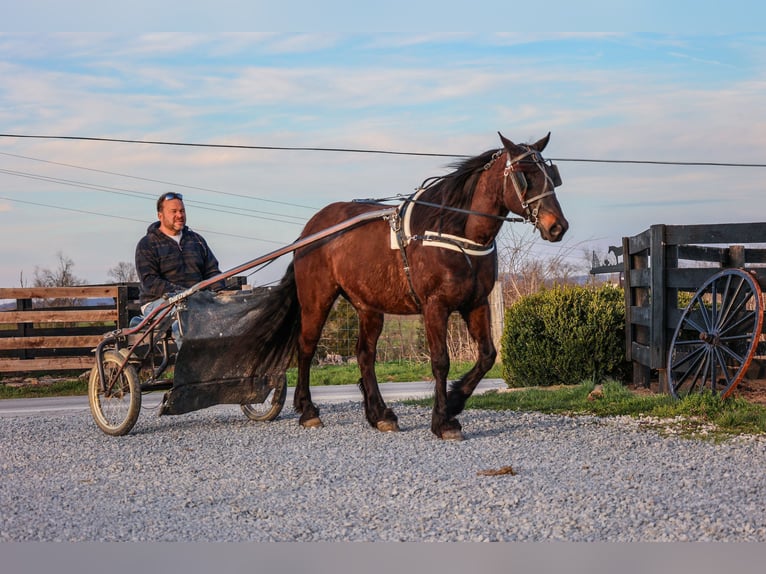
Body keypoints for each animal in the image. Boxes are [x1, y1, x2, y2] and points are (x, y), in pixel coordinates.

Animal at [255, 134, 568, 440]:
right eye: (524, 176)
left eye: (551, 175)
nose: (558, 226)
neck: (453, 232)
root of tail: (309, 232)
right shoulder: (435, 306)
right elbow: (441, 361)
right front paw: (443, 421)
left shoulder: (476, 303)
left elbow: (487, 355)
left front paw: (455, 401)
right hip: (317, 299)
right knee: (306, 347)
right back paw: (308, 410)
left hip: (368, 306)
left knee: (365, 354)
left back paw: (380, 415)